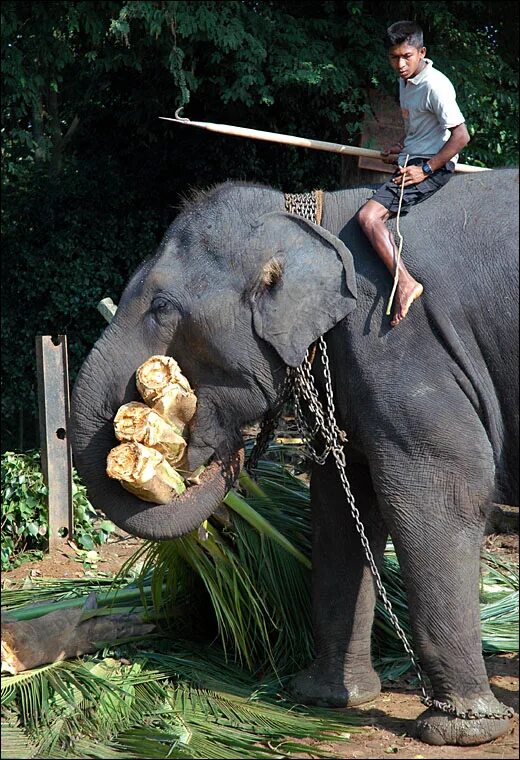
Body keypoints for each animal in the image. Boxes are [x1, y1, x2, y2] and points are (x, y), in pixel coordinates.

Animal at [71, 169, 516, 744]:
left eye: (161, 306)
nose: (202, 450)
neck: (312, 216)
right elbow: (340, 508)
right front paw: (325, 699)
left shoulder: (399, 341)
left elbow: (444, 493)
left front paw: (460, 732)